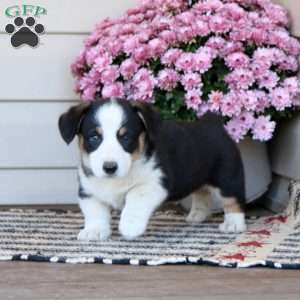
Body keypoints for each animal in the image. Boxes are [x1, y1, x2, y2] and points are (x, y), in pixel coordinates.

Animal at [58, 98, 246, 241]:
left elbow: (134, 198)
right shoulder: (88, 190)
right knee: (202, 192)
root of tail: (214, 124)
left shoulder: (154, 183)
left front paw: (130, 226)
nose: (109, 167)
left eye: (126, 137)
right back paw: (197, 215)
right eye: (94, 137)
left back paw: (234, 224)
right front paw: (94, 231)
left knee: (232, 200)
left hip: (227, 177)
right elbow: (95, 212)